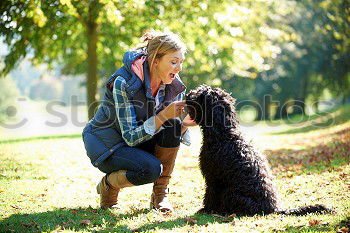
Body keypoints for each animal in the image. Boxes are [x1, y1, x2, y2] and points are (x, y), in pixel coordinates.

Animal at [186, 84, 330, 216]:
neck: (224, 134)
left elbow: (210, 195)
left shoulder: (213, 179)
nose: (188, 94)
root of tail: (273, 209)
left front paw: (206, 209)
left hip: (231, 194)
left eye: (201, 94)